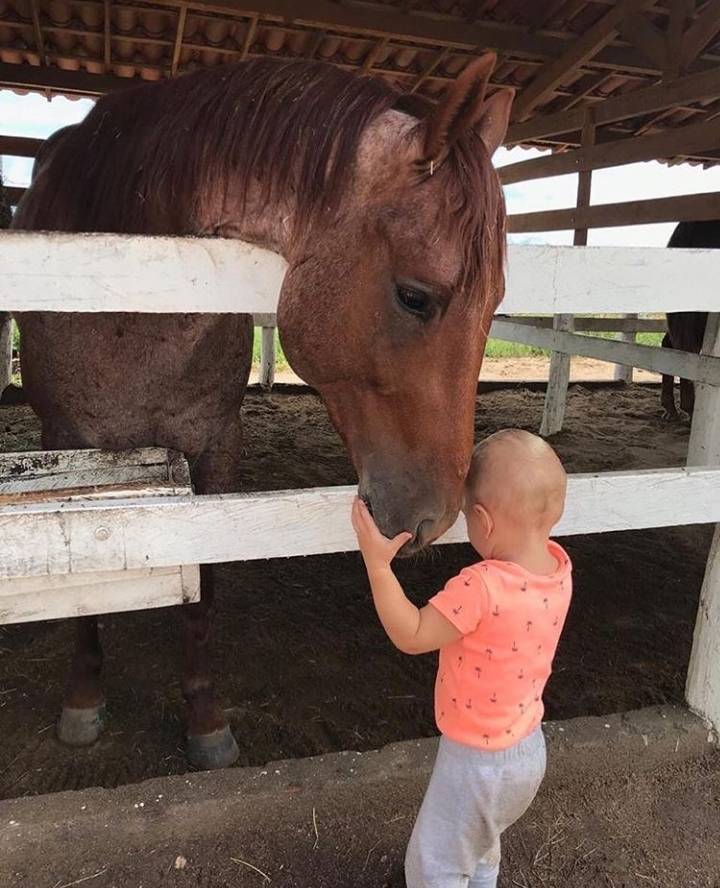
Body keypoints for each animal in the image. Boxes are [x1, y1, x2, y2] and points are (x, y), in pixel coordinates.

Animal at [15, 52, 512, 768]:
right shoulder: (69, 446)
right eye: (415, 297)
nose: (438, 516)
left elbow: (203, 589)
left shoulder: (214, 446)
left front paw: (204, 718)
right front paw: (82, 698)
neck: (128, 290)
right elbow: (88, 587)